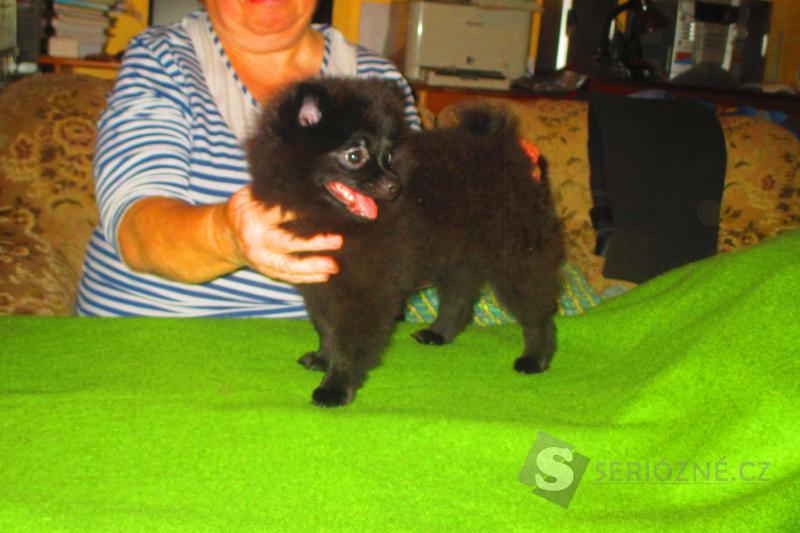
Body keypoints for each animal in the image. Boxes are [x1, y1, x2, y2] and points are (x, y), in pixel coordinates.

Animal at [247, 78, 565, 407]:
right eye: (354, 156)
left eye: (387, 156)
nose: (393, 185)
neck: (336, 218)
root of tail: (501, 145)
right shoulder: (320, 281)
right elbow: (325, 326)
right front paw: (323, 358)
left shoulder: (366, 288)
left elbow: (348, 340)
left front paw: (336, 386)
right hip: (460, 256)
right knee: (459, 300)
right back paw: (439, 334)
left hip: (516, 252)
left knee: (536, 310)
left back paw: (535, 358)